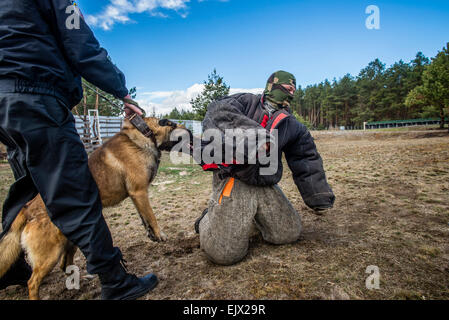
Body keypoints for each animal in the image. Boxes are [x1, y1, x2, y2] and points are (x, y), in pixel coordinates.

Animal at [0, 117, 191, 300]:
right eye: (177, 125)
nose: (190, 130)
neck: (146, 133)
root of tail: (27, 208)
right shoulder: (139, 192)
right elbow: (151, 216)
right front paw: (160, 234)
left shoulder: (136, 196)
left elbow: (144, 218)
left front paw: (151, 234)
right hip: (50, 254)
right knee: (32, 282)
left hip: (69, 241)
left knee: (64, 264)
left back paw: (81, 280)